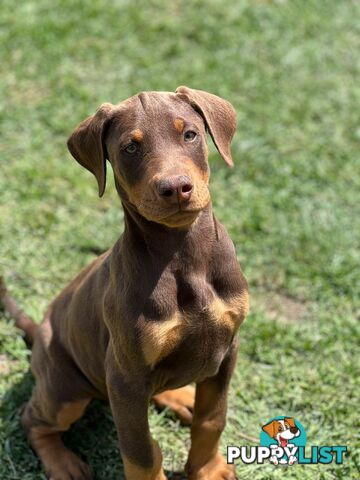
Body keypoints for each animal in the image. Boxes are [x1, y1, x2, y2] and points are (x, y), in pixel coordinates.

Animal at [0, 87, 249, 480]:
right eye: (130, 148)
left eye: (190, 134)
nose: (176, 188)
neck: (183, 253)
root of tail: (38, 332)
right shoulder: (125, 375)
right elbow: (142, 451)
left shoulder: (227, 349)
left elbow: (212, 418)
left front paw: (207, 469)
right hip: (66, 390)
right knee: (33, 419)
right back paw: (63, 463)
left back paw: (180, 398)